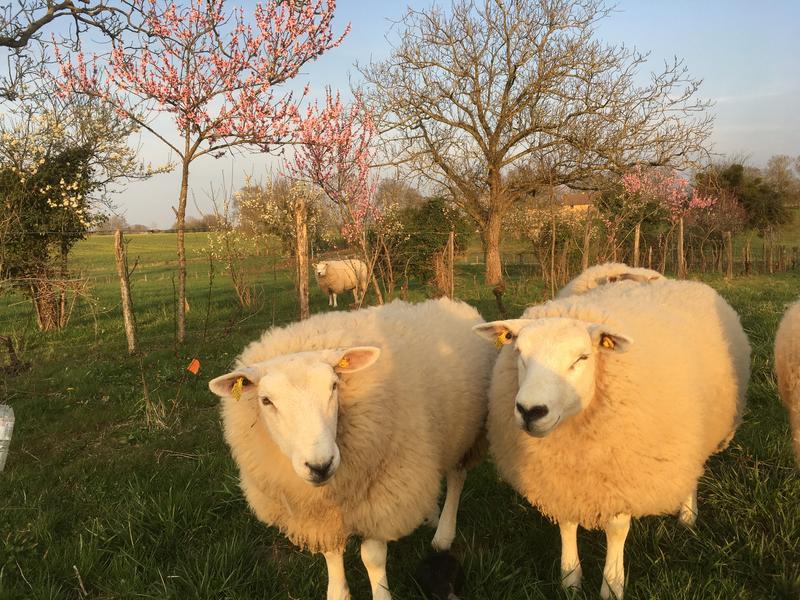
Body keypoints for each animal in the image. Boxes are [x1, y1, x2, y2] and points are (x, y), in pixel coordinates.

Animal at [209, 298, 494, 600]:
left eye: (334, 386)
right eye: (265, 400)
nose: (320, 465)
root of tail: (451, 302)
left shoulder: (383, 490)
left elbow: (373, 557)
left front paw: (381, 594)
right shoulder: (323, 512)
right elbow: (332, 553)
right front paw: (338, 592)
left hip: (468, 433)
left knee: (456, 479)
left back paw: (443, 535)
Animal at [474, 277, 750, 599]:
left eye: (582, 357)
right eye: (519, 352)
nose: (530, 410)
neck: (572, 440)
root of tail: (686, 281)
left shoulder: (623, 471)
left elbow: (616, 530)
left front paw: (612, 585)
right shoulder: (560, 478)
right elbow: (567, 523)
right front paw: (570, 578)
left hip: (699, 430)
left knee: (693, 470)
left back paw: (687, 514)